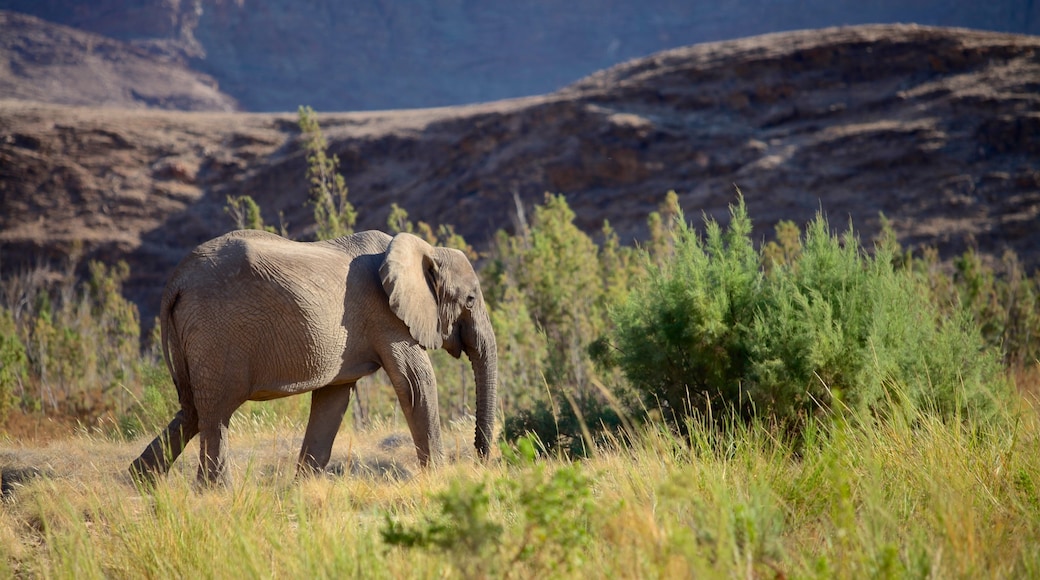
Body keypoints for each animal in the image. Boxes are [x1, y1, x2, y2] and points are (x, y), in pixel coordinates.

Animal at [130, 229, 499, 488]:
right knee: (216, 412)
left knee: (193, 410)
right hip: (216, 332)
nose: (481, 460)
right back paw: (215, 493)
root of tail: (176, 281)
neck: (423, 251)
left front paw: (301, 488)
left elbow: (333, 399)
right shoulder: (387, 317)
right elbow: (416, 382)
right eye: (469, 300)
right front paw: (441, 479)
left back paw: (141, 482)